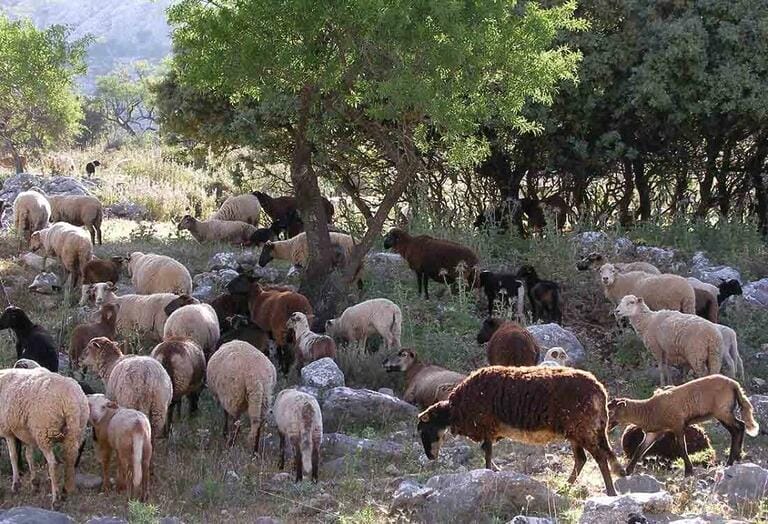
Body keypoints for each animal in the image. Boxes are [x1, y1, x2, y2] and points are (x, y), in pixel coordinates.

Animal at [0, 368, 89, 507]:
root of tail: (70, 400)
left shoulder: (6, 429)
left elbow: (13, 456)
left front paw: (16, 485)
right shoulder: (27, 433)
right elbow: (29, 456)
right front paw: (34, 484)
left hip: (44, 432)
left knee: (53, 463)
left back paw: (56, 499)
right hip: (76, 431)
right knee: (71, 457)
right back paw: (68, 489)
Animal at [417, 366, 625, 496]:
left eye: (423, 430)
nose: (430, 456)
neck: (455, 411)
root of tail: (600, 391)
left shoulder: (486, 425)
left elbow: (487, 453)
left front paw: (488, 473)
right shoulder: (490, 431)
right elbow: (487, 451)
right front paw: (495, 470)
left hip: (582, 428)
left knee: (599, 457)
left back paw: (611, 491)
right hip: (576, 430)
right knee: (582, 459)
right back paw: (564, 488)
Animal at [608, 374, 759, 476]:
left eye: (611, 412)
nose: (606, 427)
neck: (648, 410)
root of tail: (734, 384)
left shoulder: (678, 425)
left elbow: (682, 448)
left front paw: (688, 471)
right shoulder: (654, 433)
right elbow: (640, 449)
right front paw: (627, 471)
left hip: (722, 411)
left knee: (738, 427)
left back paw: (732, 460)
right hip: (723, 412)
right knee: (739, 428)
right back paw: (736, 458)